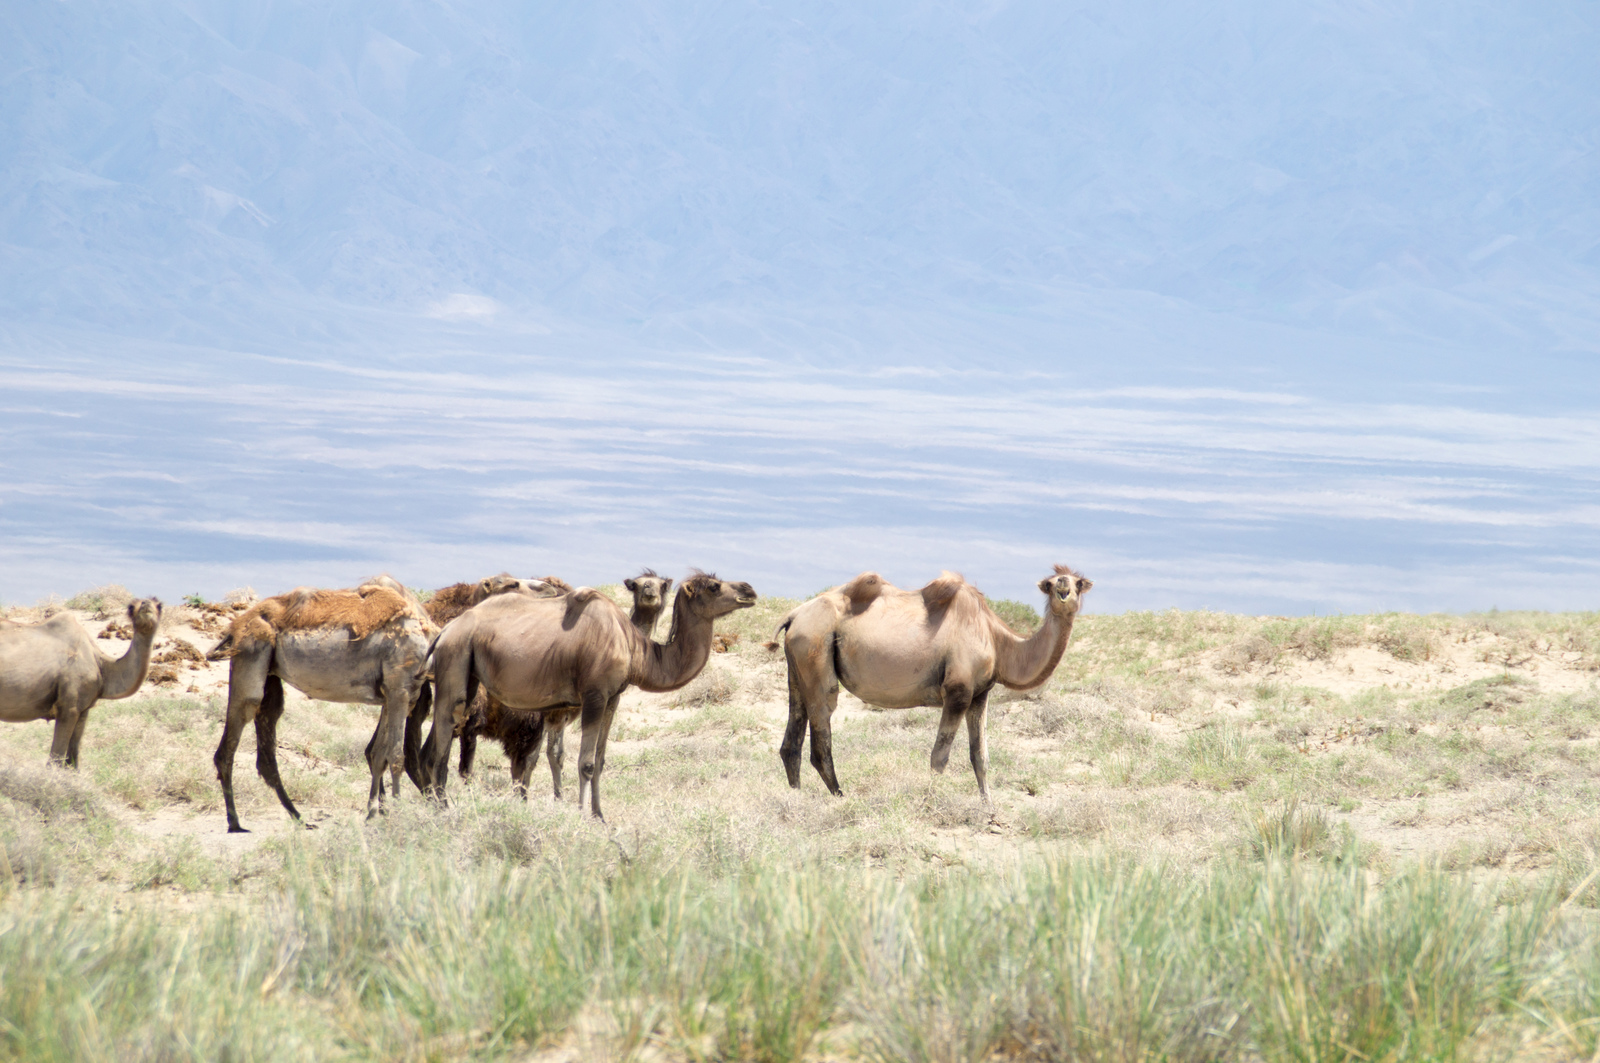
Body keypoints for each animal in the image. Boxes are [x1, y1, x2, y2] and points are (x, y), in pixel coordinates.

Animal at [0, 598, 162, 765]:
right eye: (131, 607)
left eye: (159, 605)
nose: (146, 605)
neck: (100, 664)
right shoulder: (69, 706)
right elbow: (56, 758)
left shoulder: (83, 709)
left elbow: (73, 757)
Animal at [211, 573, 444, 832]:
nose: (441, 804)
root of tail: (235, 627)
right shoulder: (399, 690)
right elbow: (395, 756)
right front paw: (398, 816)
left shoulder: (392, 696)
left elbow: (378, 753)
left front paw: (373, 812)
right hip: (250, 653)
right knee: (232, 738)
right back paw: (235, 822)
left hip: (269, 672)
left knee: (267, 736)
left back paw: (298, 817)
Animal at [422, 573, 752, 813]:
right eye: (714, 586)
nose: (749, 590)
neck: (634, 648)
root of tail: (445, 630)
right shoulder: (594, 695)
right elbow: (586, 762)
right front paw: (581, 814)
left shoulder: (612, 697)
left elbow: (601, 760)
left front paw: (599, 815)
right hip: (456, 656)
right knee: (443, 735)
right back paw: (442, 807)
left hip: (469, 672)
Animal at [761, 563, 1088, 797]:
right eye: (1051, 583)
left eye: (1079, 582)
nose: (1063, 586)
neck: (997, 642)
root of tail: (794, 615)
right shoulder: (957, 691)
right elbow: (939, 757)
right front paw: (931, 798)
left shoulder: (980, 694)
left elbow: (980, 756)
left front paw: (990, 809)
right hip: (816, 648)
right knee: (822, 724)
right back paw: (840, 796)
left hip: (798, 663)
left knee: (792, 737)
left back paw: (796, 797)